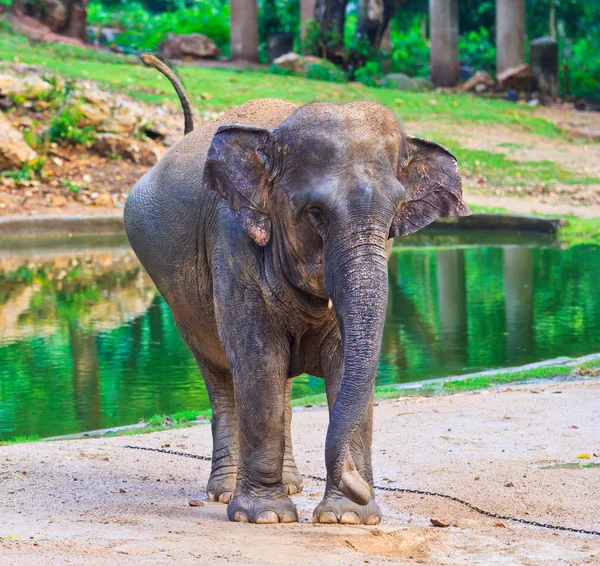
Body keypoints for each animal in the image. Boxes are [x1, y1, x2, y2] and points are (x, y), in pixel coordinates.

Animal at [125, 54, 474, 528]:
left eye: (394, 214)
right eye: (315, 213)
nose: (361, 484)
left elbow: (344, 360)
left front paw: (348, 518)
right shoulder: (232, 242)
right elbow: (258, 360)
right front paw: (265, 517)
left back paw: (291, 485)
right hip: (176, 295)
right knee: (221, 373)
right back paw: (225, 493)